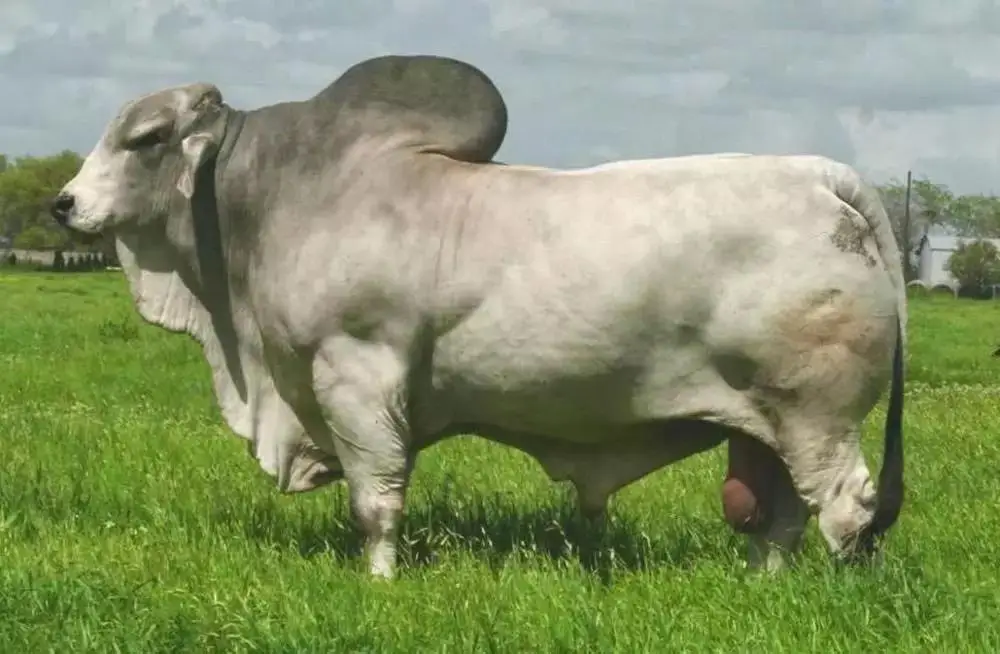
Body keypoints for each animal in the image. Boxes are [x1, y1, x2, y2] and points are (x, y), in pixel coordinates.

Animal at [51, 54, 905, 579]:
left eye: (146, 138)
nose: (64, 204)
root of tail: (817, 176)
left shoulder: (357, 380)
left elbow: (376, 502)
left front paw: (381, 583)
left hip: (819, 417)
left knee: (845, 509)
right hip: (772, 422)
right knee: (783, 517)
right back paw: (764, 584)